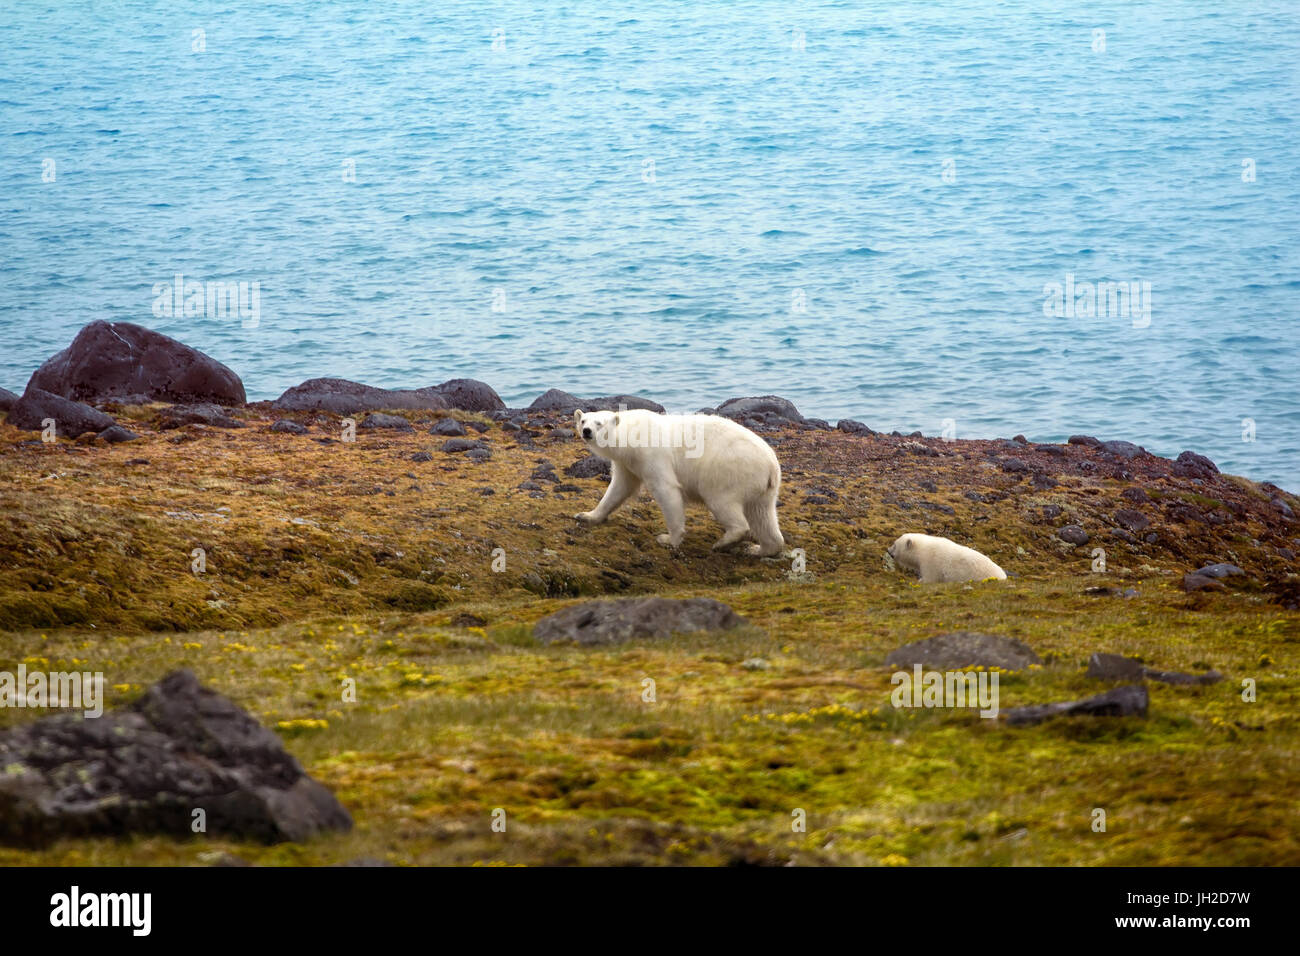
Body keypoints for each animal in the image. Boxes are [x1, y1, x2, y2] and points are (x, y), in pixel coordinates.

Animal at [577, 408, 780, 556]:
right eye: (583, 421)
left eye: (599, 423)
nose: (587, 431)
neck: (632, 436)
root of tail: (771, 466)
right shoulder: (627, 463)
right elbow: (619, 488)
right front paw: (587, 515)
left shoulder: (652, 455)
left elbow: (666, 489)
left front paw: (668, 539)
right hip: (760, 487)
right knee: (762, 515)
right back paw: (758, 549)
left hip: (729, 471)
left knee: (722, 502)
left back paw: (724, 543)